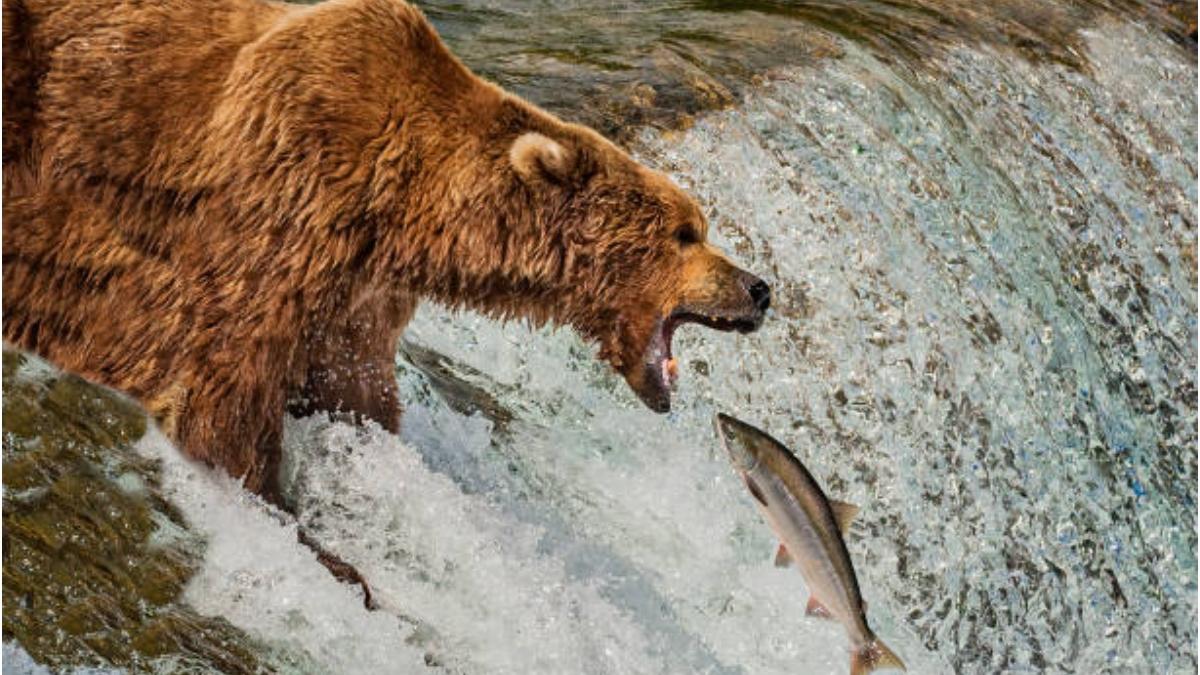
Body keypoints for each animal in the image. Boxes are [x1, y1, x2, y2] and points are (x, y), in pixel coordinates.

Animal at [2, 0, 768, 586]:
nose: (759, 287)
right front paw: (325, 551)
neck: (405, 210)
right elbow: (223, 400)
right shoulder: (286, 202)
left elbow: (356, 397)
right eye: (685, 232)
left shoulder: (357, 300)